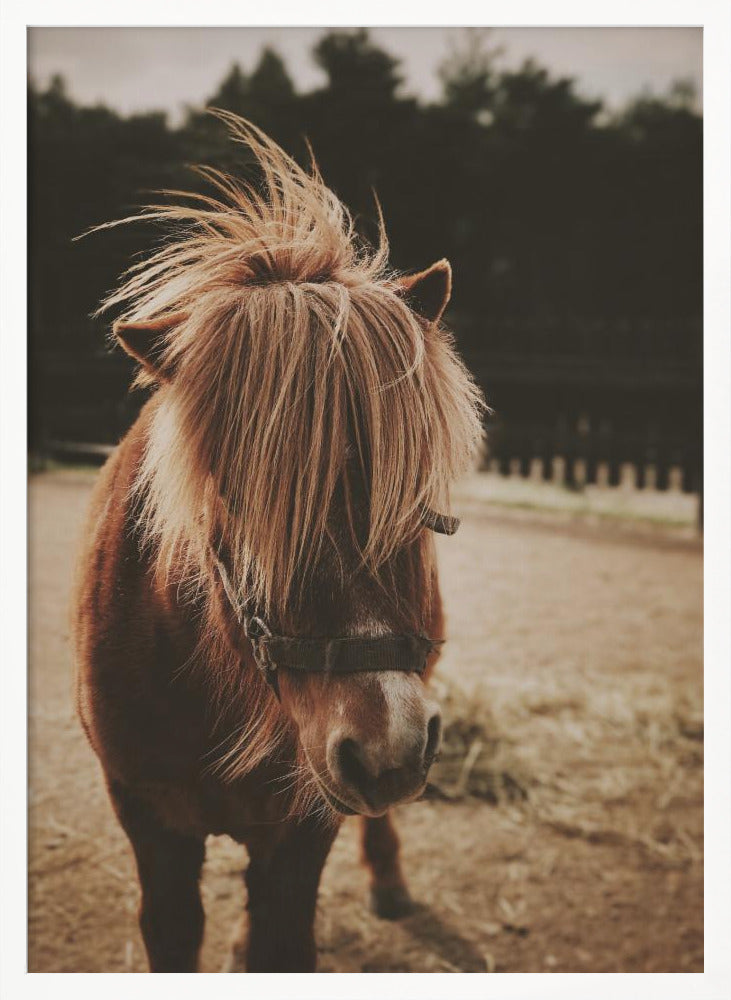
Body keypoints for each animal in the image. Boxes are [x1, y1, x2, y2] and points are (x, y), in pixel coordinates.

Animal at [72, 112, 485, 972]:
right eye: (237, 499)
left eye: (412, 492)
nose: (384, 747)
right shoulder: (150, 825)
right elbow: (174, 930)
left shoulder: (303, 829)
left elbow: (282, 936)